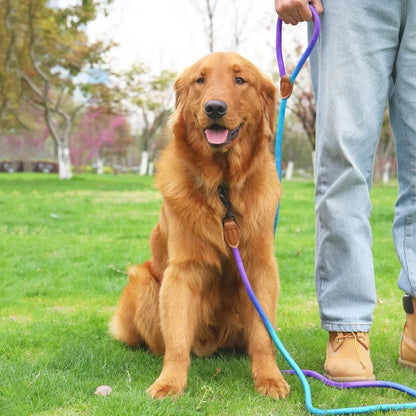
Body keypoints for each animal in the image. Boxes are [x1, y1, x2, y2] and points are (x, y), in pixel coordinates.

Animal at [110, 51, 290, 400]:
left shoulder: (259, 267)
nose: (214, 108)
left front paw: (269, 377)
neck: (223, 189)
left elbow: (263, 337)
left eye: (239, 79)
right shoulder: (183, 271)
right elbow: (177, 341)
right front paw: (169, 382)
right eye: (200, 80)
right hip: (144, 281)